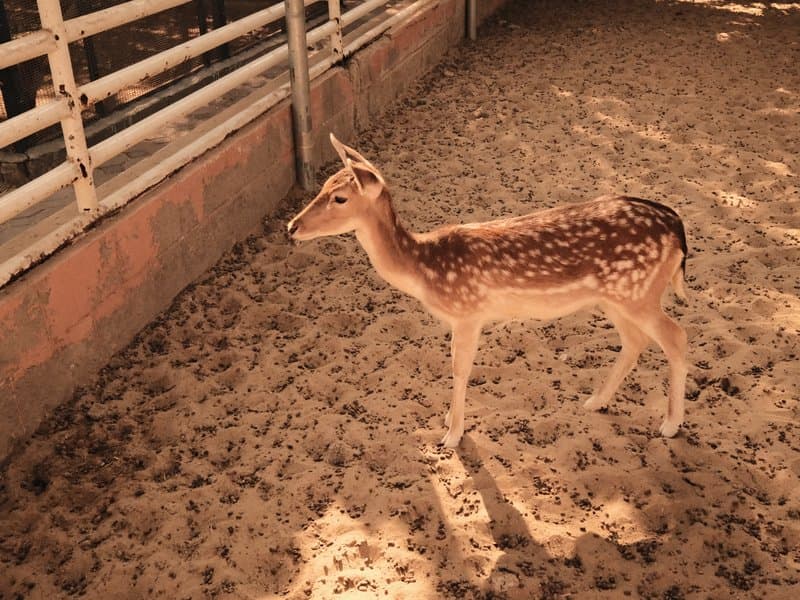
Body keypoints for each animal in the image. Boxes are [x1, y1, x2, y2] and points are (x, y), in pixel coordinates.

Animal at [287, 134, 689, 448]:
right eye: (323, 185)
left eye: (340, 198)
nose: (292, 226)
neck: (426, 270)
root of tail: (677, 228)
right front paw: (448, 421)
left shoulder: (468, 312)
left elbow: (459, 368)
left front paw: (451, 434)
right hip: (615, 297)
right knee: (636, 341)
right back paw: (596, 401)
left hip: (638, 292)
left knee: (676, 336)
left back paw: (670, 424)